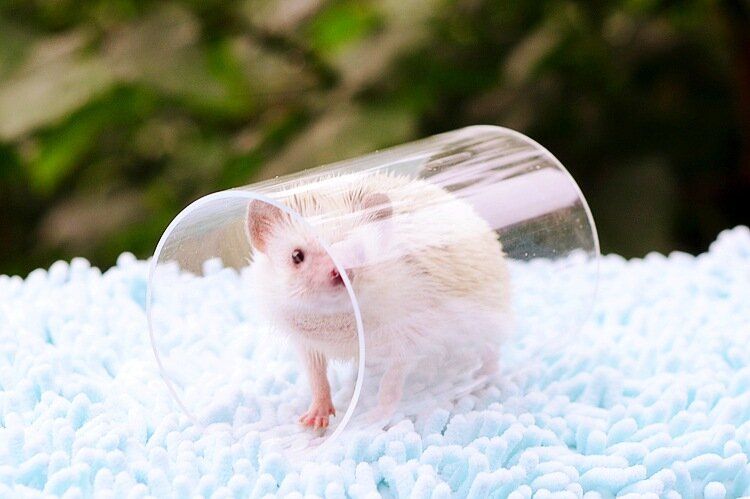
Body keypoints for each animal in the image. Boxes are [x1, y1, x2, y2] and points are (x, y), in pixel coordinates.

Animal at [246, 172, 510, 430]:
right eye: (296, 255)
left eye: (359, 251)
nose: (339, 272)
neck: (335, 321)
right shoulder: (304, 340)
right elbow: (316, 374)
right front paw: (316, 413)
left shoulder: (412, 321)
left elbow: (393, 376)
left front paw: (375, 415)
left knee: (490, 349)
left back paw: (483, 375)